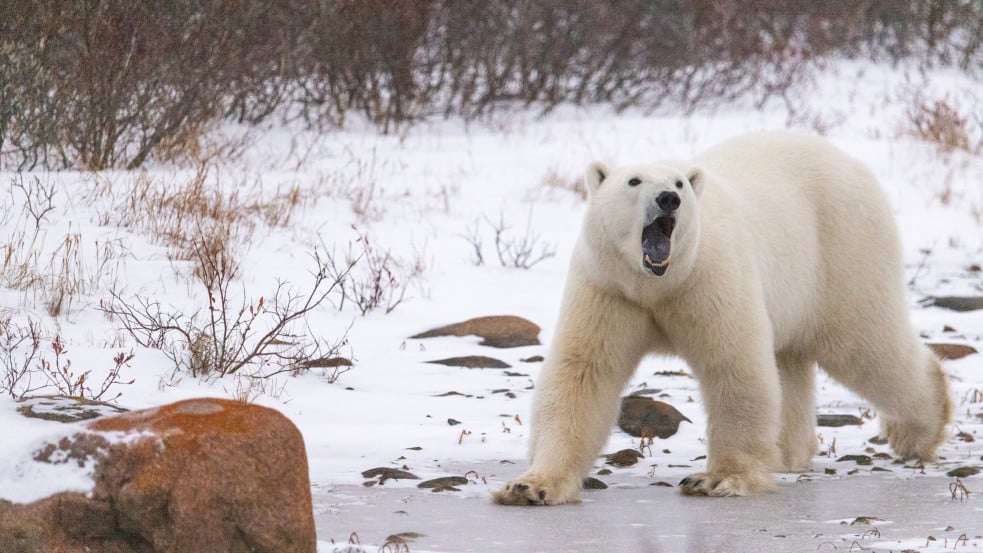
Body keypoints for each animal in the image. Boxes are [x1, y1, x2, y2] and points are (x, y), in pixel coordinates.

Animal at [496, 130, 948, 504]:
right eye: (633, 181)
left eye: (679, 183)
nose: (668, 199)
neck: (657, 283)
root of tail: (852, 163)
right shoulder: (610, 289)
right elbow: (583, 374)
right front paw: (530, 486)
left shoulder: (707, 278)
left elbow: (734, 366)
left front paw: (717, 479)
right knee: (792, 360)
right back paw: (786, 453)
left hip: (842, 248)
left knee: (864, 345)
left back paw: (919, 429)